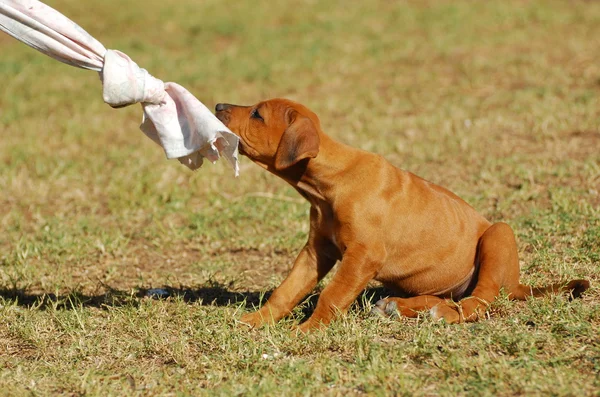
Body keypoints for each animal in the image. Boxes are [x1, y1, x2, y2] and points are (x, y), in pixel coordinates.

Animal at [214, 98, 584, 332]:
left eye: (257, 114)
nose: (217, 107)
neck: (331, 181)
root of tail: (517, 283)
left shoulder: (363, 256)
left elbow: (332, 296)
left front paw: (307, 331)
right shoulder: (316, 251)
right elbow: (287, 290)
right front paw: (257, 321)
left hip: (498, 234)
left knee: (477, 303)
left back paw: (441, 314)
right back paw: (403, 307)